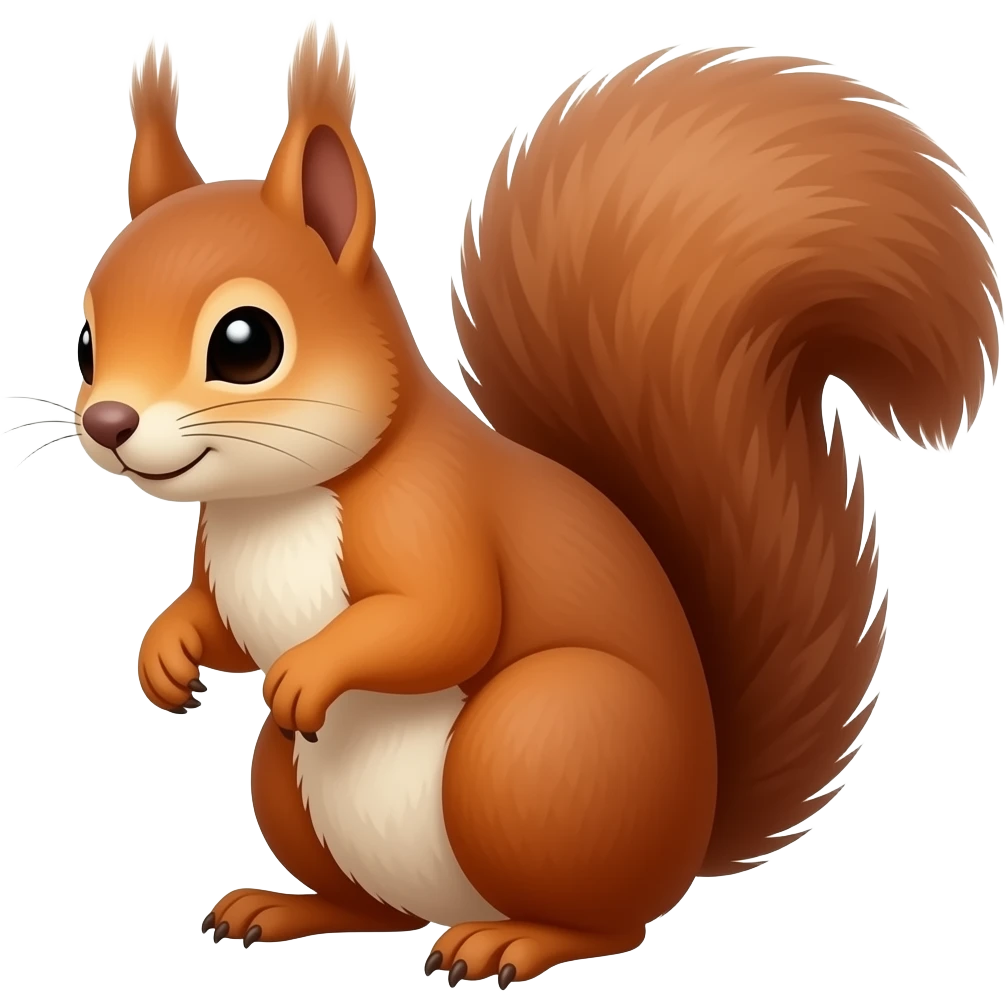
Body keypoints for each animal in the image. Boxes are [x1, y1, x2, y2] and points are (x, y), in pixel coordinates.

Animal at [79, 23, 998, 985]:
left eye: (246, 343)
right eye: (85, 343)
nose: (108, 423)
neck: (273, 503)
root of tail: (689, 839)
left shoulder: (433, 514)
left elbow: (445, 618)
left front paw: (306, 670)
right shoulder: (225, 563)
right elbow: (218, 622)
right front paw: (165, 651)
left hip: (538, 744)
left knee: (610, 923)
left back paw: (511, 942)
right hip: (293, 781)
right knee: (375, 909)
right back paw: (288, 907)